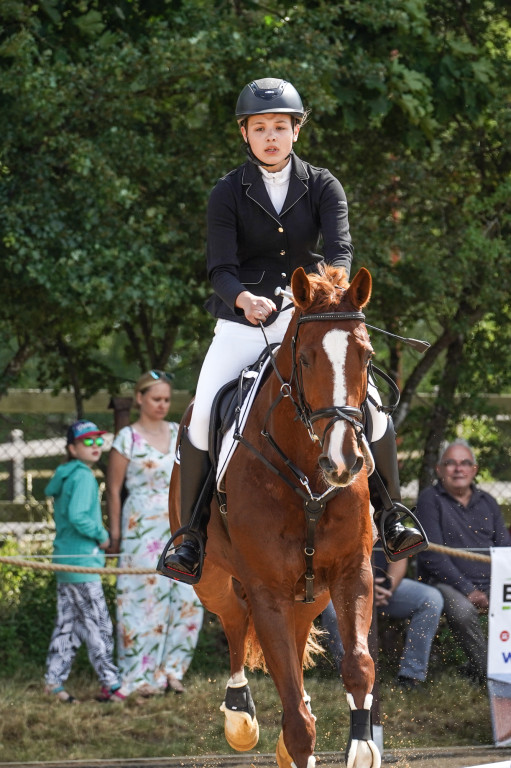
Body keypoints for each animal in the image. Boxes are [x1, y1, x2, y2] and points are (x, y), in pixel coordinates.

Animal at [168, 266, 380, 768]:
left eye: (365, 356)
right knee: (232, 619)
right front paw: (290, 736)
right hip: (213, 579)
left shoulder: (352, 571)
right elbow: (299, 725)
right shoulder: (267, 591)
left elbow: (359, 665)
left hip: (312, 594)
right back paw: (239, 716)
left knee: (297, 643)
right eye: (304, 359)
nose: (343, 462)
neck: (307, 471)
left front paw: (362, 746)